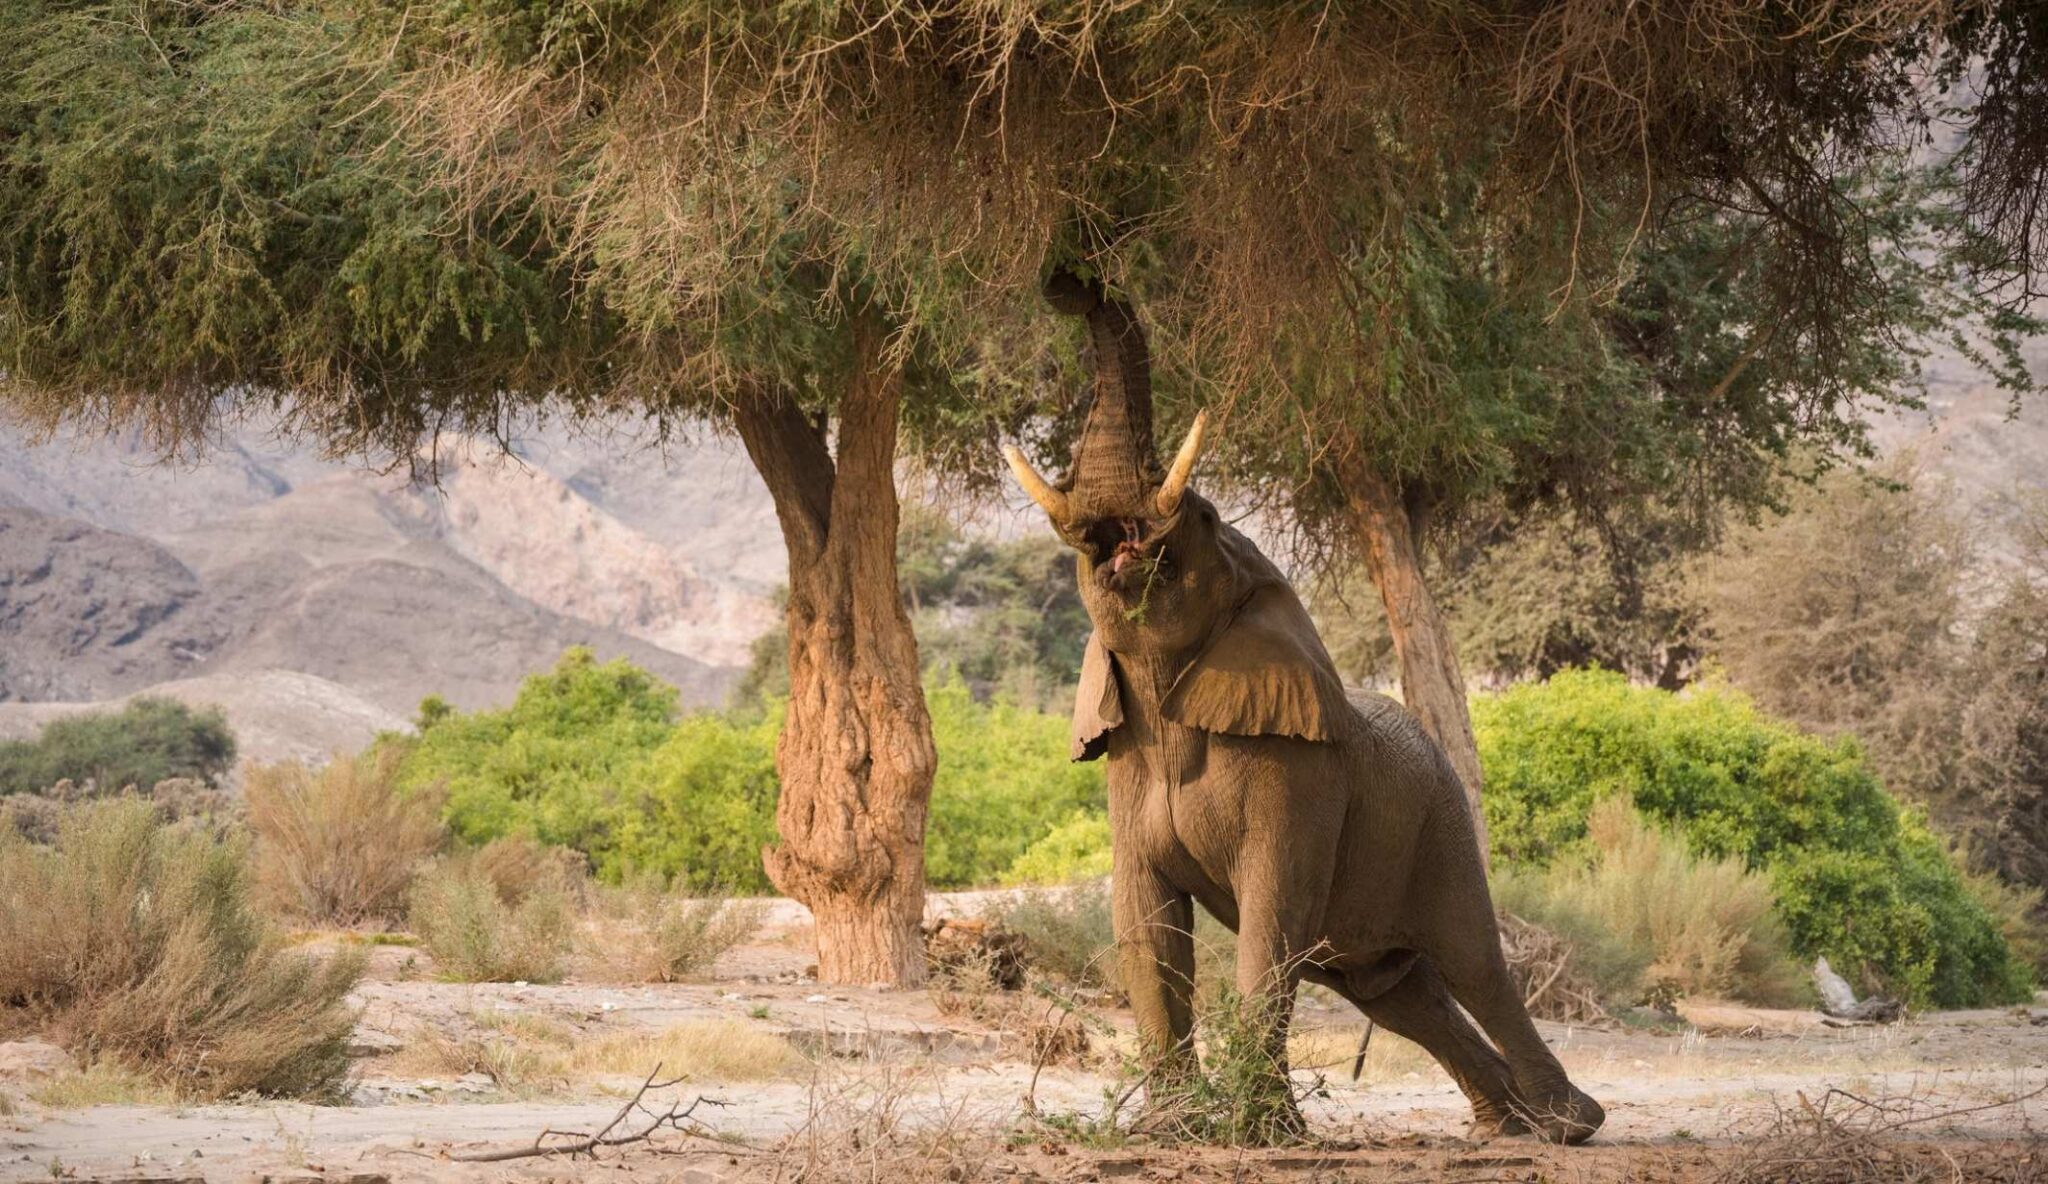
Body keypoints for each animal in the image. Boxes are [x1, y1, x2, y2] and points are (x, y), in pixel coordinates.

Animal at [1001, 272, 1605, 1144]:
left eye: (1206, 517)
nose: (1070, 279)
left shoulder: (1300, 776)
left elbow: (1270, 918)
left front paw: (1259, 1136)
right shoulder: (1126, 766)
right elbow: (1148, 927)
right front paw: (1174, 1131)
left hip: (1443, 823)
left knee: (1472, 962)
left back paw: (1566, 1126)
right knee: (1390, 988)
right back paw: (1506, 1126)